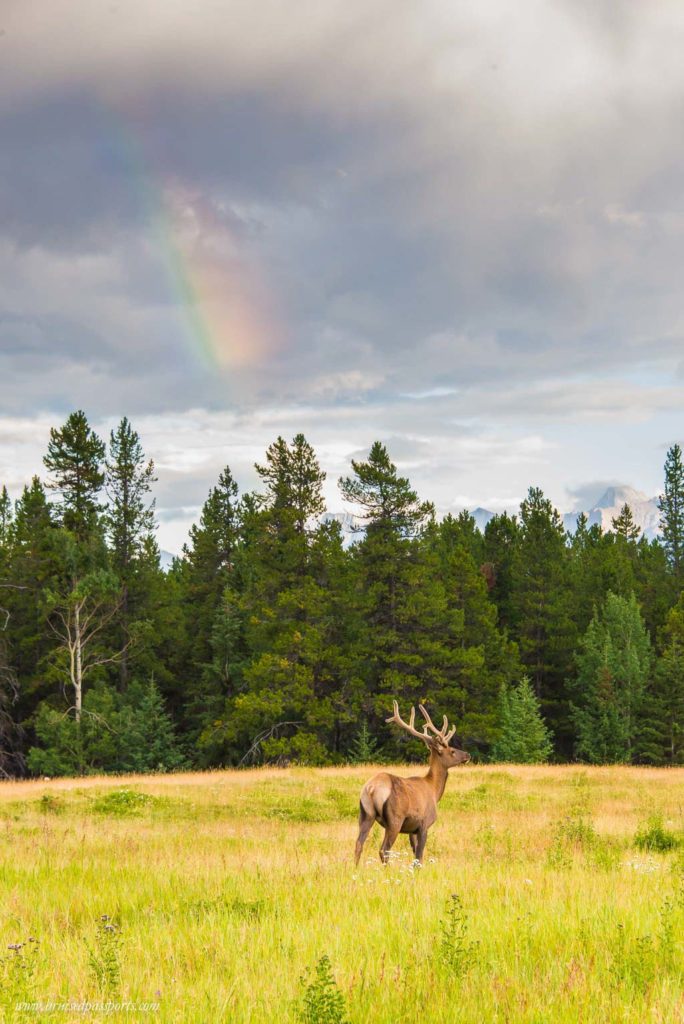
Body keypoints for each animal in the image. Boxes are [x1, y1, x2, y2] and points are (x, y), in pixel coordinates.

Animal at [352, 704, 471, 864]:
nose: (467, 755)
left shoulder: (411, 830)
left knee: (359, 844)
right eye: (452, 750)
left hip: (365, 814)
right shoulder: (424, 824)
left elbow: (415, 855)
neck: (434, 790)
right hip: (395, 819)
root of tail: (371, 789)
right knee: (384, 849)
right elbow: (419, 857)